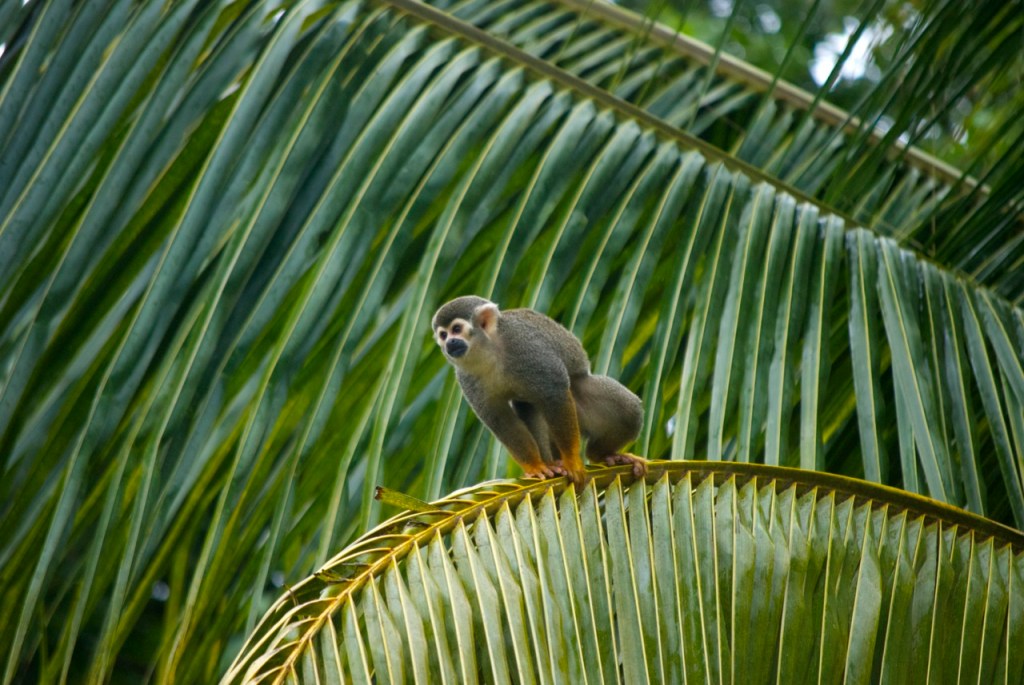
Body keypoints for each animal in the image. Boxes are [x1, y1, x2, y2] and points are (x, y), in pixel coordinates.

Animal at [431, 295, 646, 486]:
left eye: (456, 329)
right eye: (443, 335)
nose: (449, 343)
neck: (489, 351)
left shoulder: (526, 347)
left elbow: (554, 392)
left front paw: (571, 461)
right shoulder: (466, 377)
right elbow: (500, 419)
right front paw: (535, 467)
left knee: (628, 409)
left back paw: (601, 455)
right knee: (528, 408)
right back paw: (553, 463)